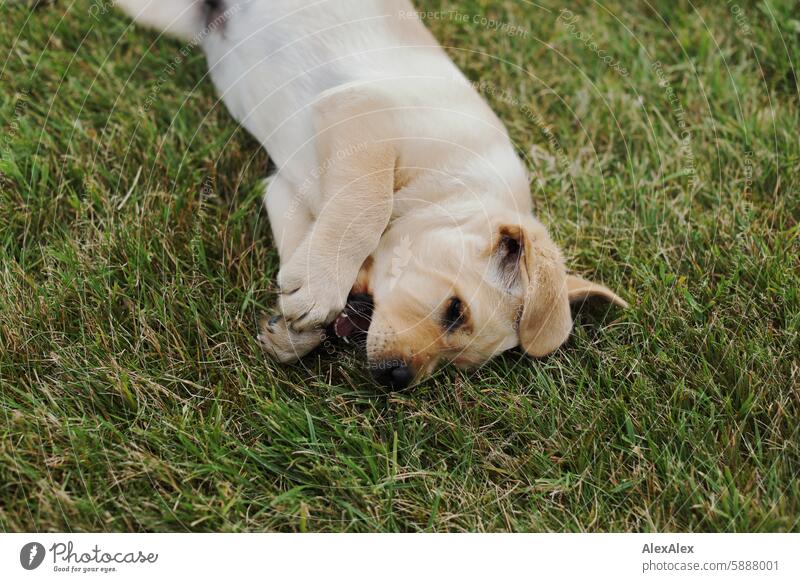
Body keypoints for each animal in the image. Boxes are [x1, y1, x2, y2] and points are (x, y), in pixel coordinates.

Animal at [117, 1, 624, 392]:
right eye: (454, 311)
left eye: (460, 365)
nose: (397, 379)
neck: (452, 182)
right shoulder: (361, 110)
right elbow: (368, 203)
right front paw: (320, 285)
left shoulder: (283, 187)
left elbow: (308, 234)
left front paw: (296, 326)